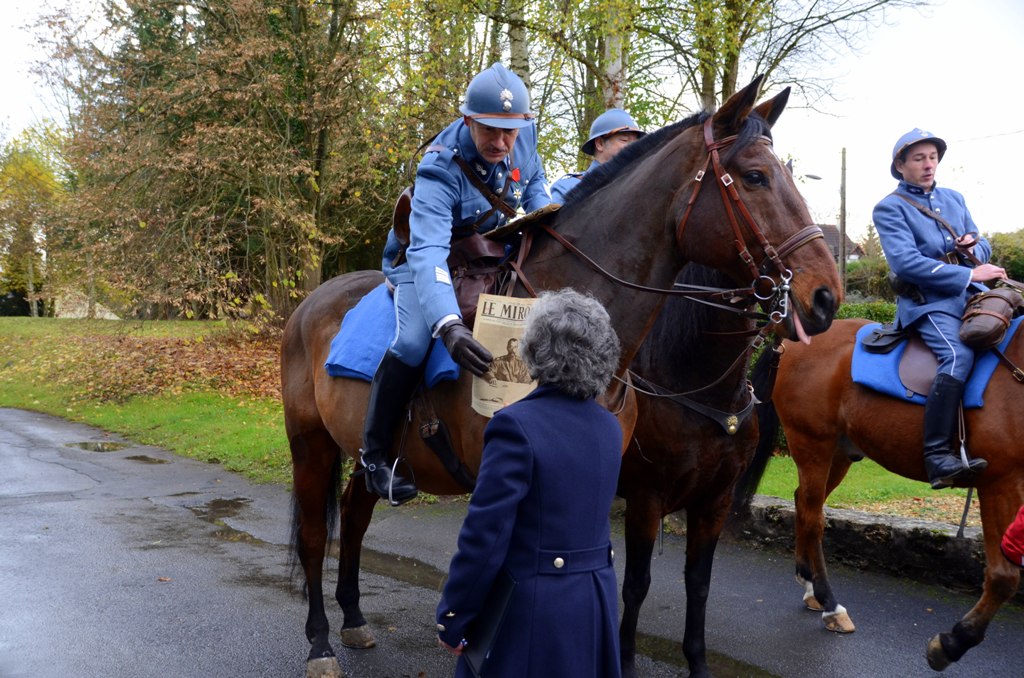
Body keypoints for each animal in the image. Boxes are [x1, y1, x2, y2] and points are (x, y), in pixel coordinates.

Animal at [610, 264, 770, 678]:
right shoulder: (645, 500)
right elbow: (636, 584)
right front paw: (625, 659)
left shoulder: (715, 501)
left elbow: (698, 583)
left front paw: (697, 661)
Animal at [737, 319, 1024, 675]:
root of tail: (791, 341)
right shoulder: (1001, 483)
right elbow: (1003, 577)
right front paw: (952, 642)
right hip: (812, 444)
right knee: (813, 517)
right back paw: (831, 604)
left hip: (839, 454)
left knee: (803, 503)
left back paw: (810, 585)